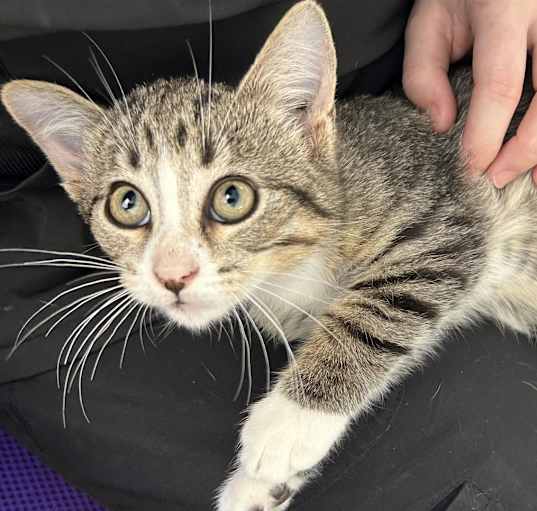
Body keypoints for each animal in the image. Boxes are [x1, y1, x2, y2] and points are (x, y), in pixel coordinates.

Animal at [1, 1, 536, 511]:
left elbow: (383, 304)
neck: (291, 272)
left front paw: (289, 420)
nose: (173, 274)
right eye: (127, 204)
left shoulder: (449, 213)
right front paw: (258, 485)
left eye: (232, 197)